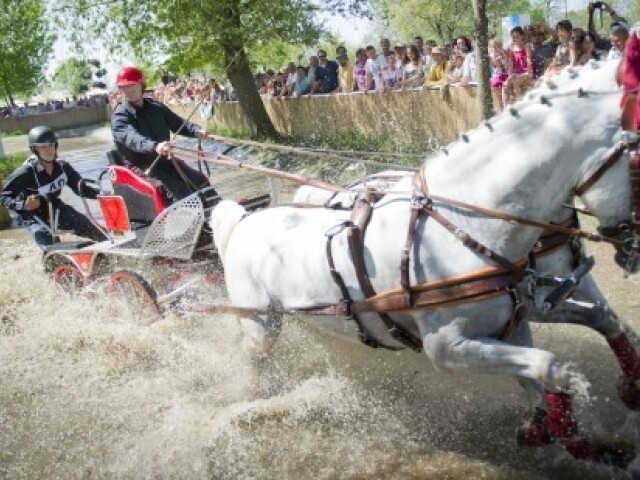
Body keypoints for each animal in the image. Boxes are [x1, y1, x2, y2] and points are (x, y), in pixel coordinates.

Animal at [211, 60, 636, 464]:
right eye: (636, 162)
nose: (632, 249)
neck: (464, 223)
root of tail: (244, 222)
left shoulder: (517, 319)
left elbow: (569, 348)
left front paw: (599, 412)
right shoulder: (446, 347)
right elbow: (551, 368)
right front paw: (590, 443)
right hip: (262, 326)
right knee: (254, 361)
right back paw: (243, 408)